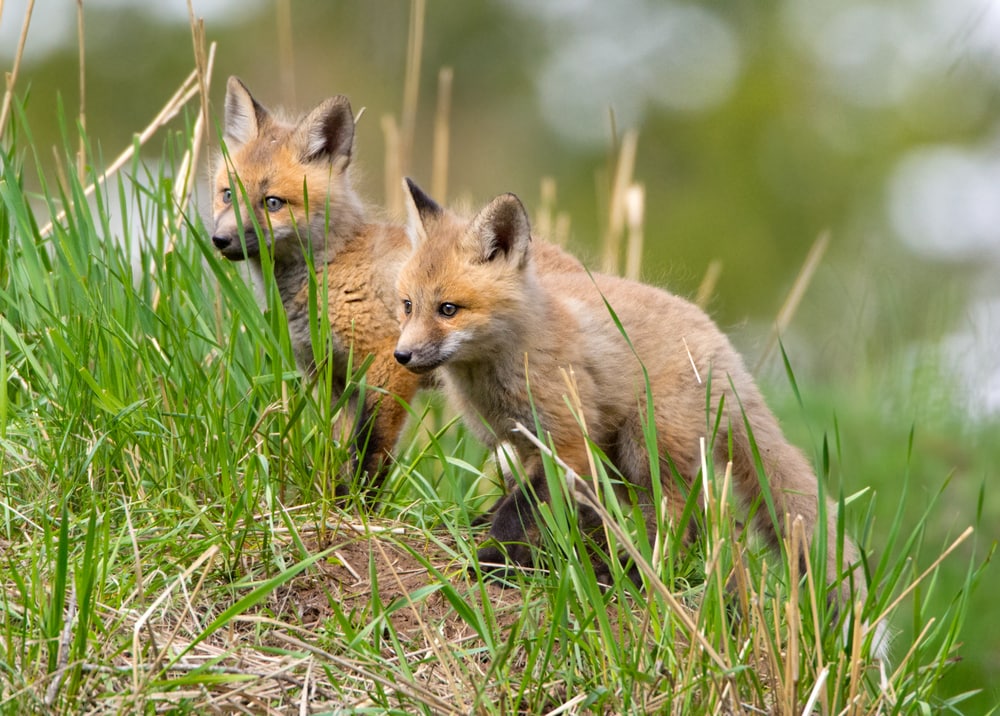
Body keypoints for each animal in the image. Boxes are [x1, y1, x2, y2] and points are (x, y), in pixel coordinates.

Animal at [211, 78, 584, 492]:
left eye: (272, 202)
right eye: (227, 195)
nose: (219, 240)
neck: (333, 269)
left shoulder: (388, 365)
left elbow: (370, 452)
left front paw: (357, 500)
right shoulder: (335, 380)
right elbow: (337, 451)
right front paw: (337, 496)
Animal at [394, 179, 886, 654]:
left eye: (448, 309)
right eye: (408, 305)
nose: (402, 355)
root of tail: (727, 354)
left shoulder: (566, 442)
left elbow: (521, 512)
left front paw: (493, 560)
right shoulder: (517, 442)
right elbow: (518, 501)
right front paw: (491, 534)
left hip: (645, 448)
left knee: (679, 524)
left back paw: (632, 575)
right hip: (623, 459)